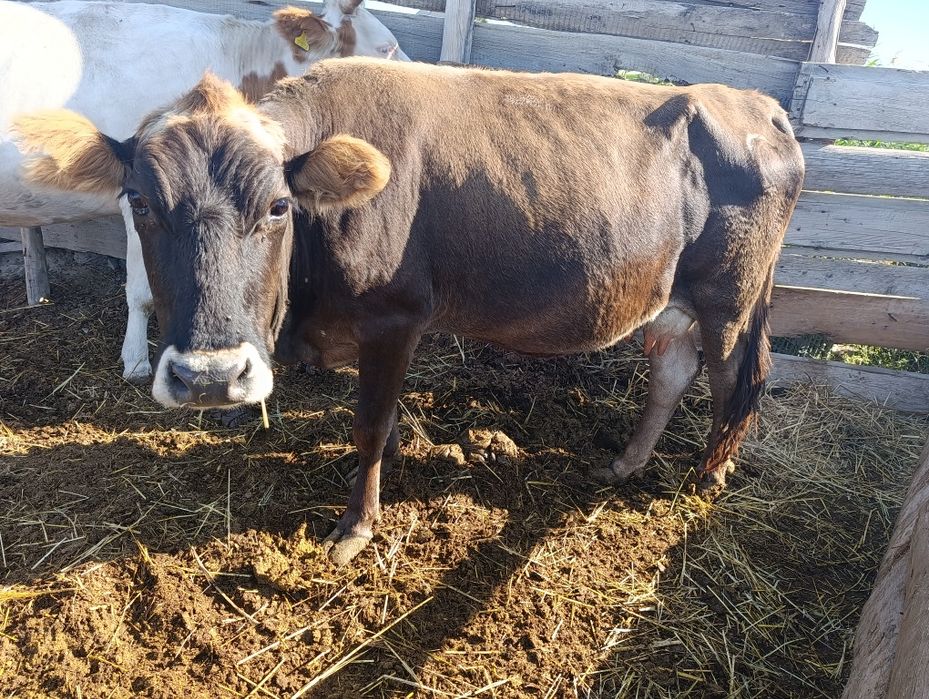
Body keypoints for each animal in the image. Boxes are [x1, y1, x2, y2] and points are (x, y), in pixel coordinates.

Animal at [13, 58, 805, 565]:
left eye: (277, 206)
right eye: (140, 203)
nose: (209, 377)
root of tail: (754, 103)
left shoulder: (395, 318)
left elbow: (368, 421)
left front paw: (355, 527)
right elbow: (382, 418)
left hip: (731, 297)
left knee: (734, 380)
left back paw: (705, 479)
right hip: (674, 299)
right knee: (672, 370)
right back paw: (626, 462)